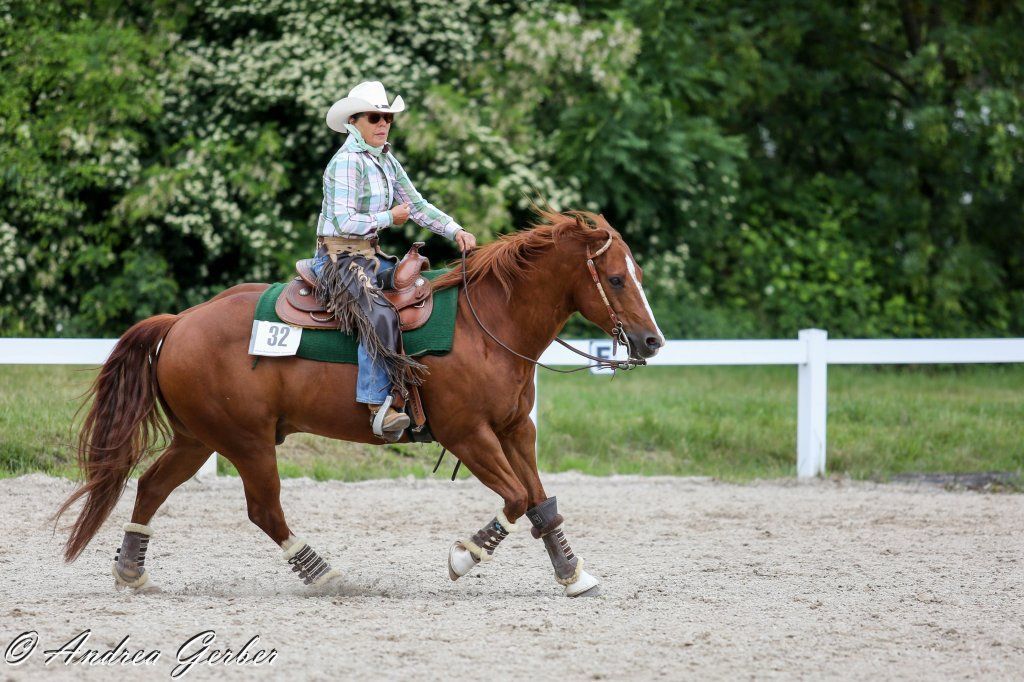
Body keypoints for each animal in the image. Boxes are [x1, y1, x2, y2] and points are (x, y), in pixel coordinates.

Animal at [56, 209, 665, 597]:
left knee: (151, 486)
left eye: (637, 273)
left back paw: (131, 573)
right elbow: (515, 498)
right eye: (615, 278)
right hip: (247, 442)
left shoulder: (517, 430)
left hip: (198, 438)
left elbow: (541, 503)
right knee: (264, 509)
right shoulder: (467, 433)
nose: (652, 341)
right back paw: (325, 575)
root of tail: (179, 321)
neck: (489, 325)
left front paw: (572, 575)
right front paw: (463, 556)